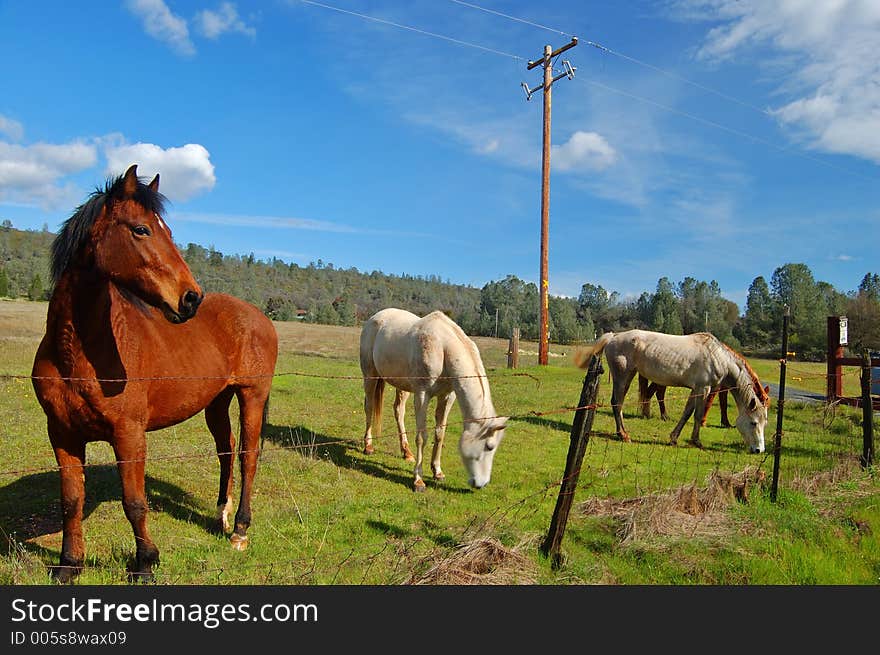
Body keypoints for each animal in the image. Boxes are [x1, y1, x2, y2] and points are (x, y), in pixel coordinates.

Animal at [31, 165, 278, 584]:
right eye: (141, 229)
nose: (191, 298)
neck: (76, 353)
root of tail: (259, 317)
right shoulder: (62, 433)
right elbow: (71, 500)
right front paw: (69, 565)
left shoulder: (129, 435)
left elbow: (134, 502)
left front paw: (145, 563)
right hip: (216, 402)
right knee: (226, 450)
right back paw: (221, 516)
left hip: (252, 396)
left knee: (248, 455)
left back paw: (240, 531)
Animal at [360, 308, 508, 492]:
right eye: (489, 446)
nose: (482, 484)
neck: (442, 348)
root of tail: (375, 318)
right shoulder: (422, 395)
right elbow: (422, 437)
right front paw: (418, 480)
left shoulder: (447, 397)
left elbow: (440, 433)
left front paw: (437, 472)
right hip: (370, 376)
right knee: (369, 407)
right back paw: (368, 446)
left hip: (402, 386)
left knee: (398, 411)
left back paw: (406, 452)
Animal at [576, 330, 768, 454]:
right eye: (753, 423)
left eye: (764, 424)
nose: (759, 450)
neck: (717, 356)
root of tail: (614, 336)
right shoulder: (703, 389)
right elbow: (697, 415)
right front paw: (697, 442)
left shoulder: (695, 390)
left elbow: (687, 413)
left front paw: (674, 438)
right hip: (622, 377)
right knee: (617, 403)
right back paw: (624, 435)